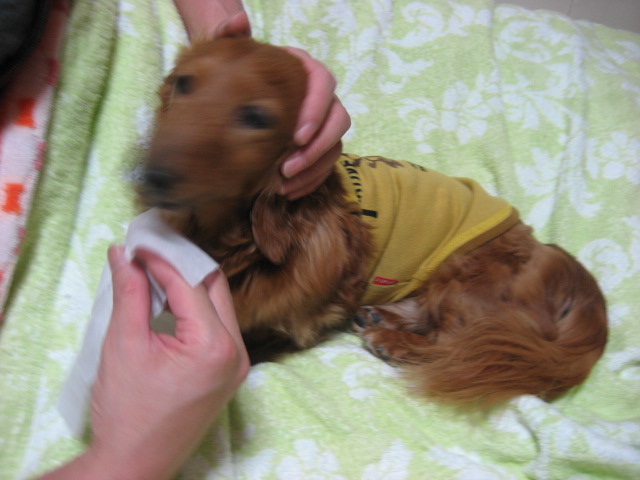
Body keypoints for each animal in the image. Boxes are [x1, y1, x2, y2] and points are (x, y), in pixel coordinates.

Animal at [138, 37, 608, 407]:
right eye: (183, 83)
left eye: (256, 117)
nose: (150, 176)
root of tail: (552, 256)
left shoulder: (296, 323)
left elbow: (260, 340)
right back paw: (381, 319)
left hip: (464, 279)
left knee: (460, 346)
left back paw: (393, 340)